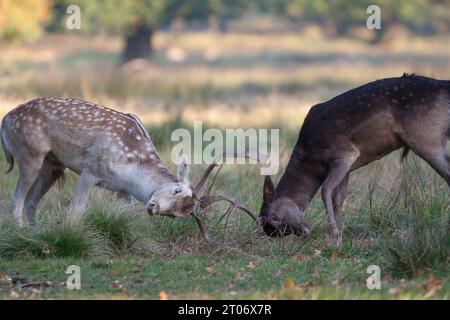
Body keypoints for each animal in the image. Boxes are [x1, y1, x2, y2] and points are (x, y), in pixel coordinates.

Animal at [0, 97, 256, 232]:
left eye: (176, 215)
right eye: (176, 189)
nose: (153, 207)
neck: (131, 169)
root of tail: (6, 120)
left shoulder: (123, 191)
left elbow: (123, 210)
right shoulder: (90, 169)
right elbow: (77, 208)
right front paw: (69, 232)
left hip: (53, 164)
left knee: (31, 200)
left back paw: (36, 233)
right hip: (29, 155)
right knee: (17, 197)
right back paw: (21, 233)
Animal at [260, 75, 450, 240]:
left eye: (275, 218)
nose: (304, 232)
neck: (312, 158)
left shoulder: (344, 153)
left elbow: (325, 190)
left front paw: (334, 234)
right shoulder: (347, 168)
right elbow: (338, 198)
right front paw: (340, 233)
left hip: (426, 137)